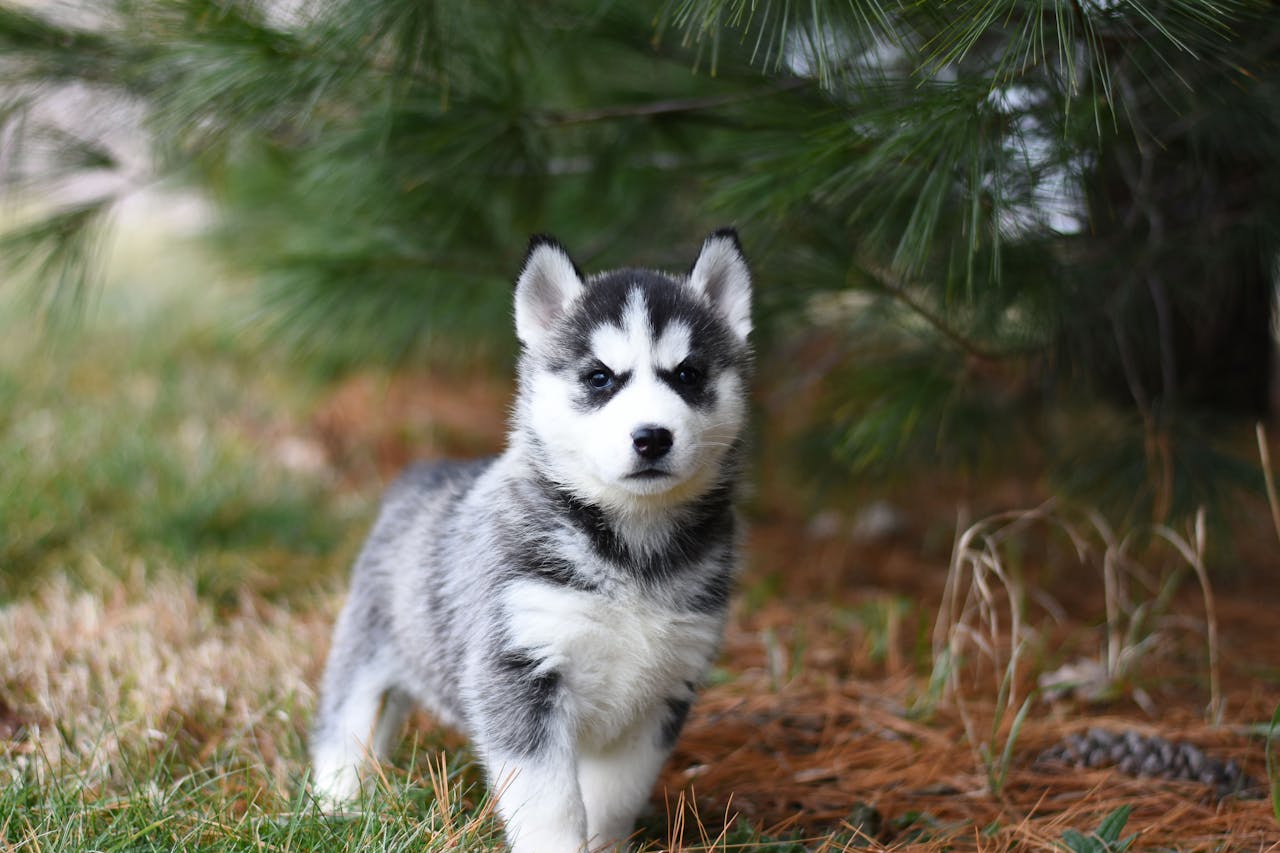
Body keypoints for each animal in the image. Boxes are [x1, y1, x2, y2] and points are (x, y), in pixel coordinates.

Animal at [309, 229, 747, 845]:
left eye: (687, 374)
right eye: (599, 377)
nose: (652, 437)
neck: (632, 551)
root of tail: (426, 471)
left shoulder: (662, 694)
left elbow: (614, 798)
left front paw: (604, 845)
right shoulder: (518, 673)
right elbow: (550, 803)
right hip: (366, 650)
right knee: (343, 725)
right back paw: (338, 805)